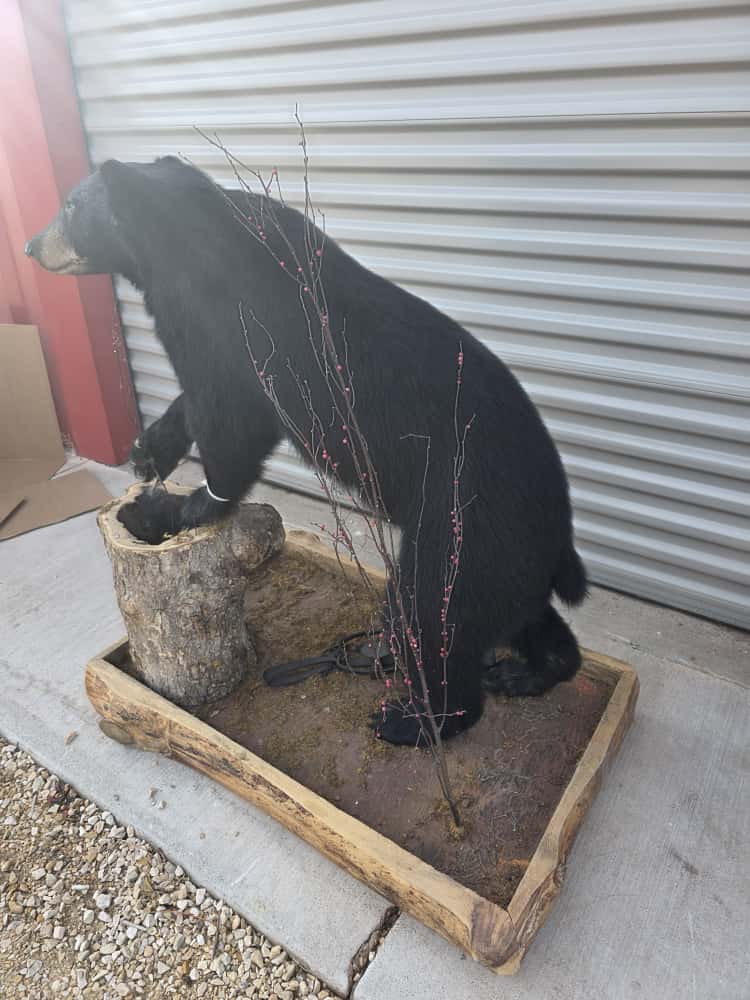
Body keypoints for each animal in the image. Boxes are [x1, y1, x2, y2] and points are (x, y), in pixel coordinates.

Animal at [25, 155, 587, 745]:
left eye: (69, 205)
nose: (30, 245)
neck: (181, 235)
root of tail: (561, 533)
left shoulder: (223, 322)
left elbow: (232, 417)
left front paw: (178, 505)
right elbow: (200, 400)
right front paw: (150, 450)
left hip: (463, 528)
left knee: (433, 612)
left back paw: (412, 720)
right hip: (504, 555)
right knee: (514, 613)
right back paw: (528, 671)